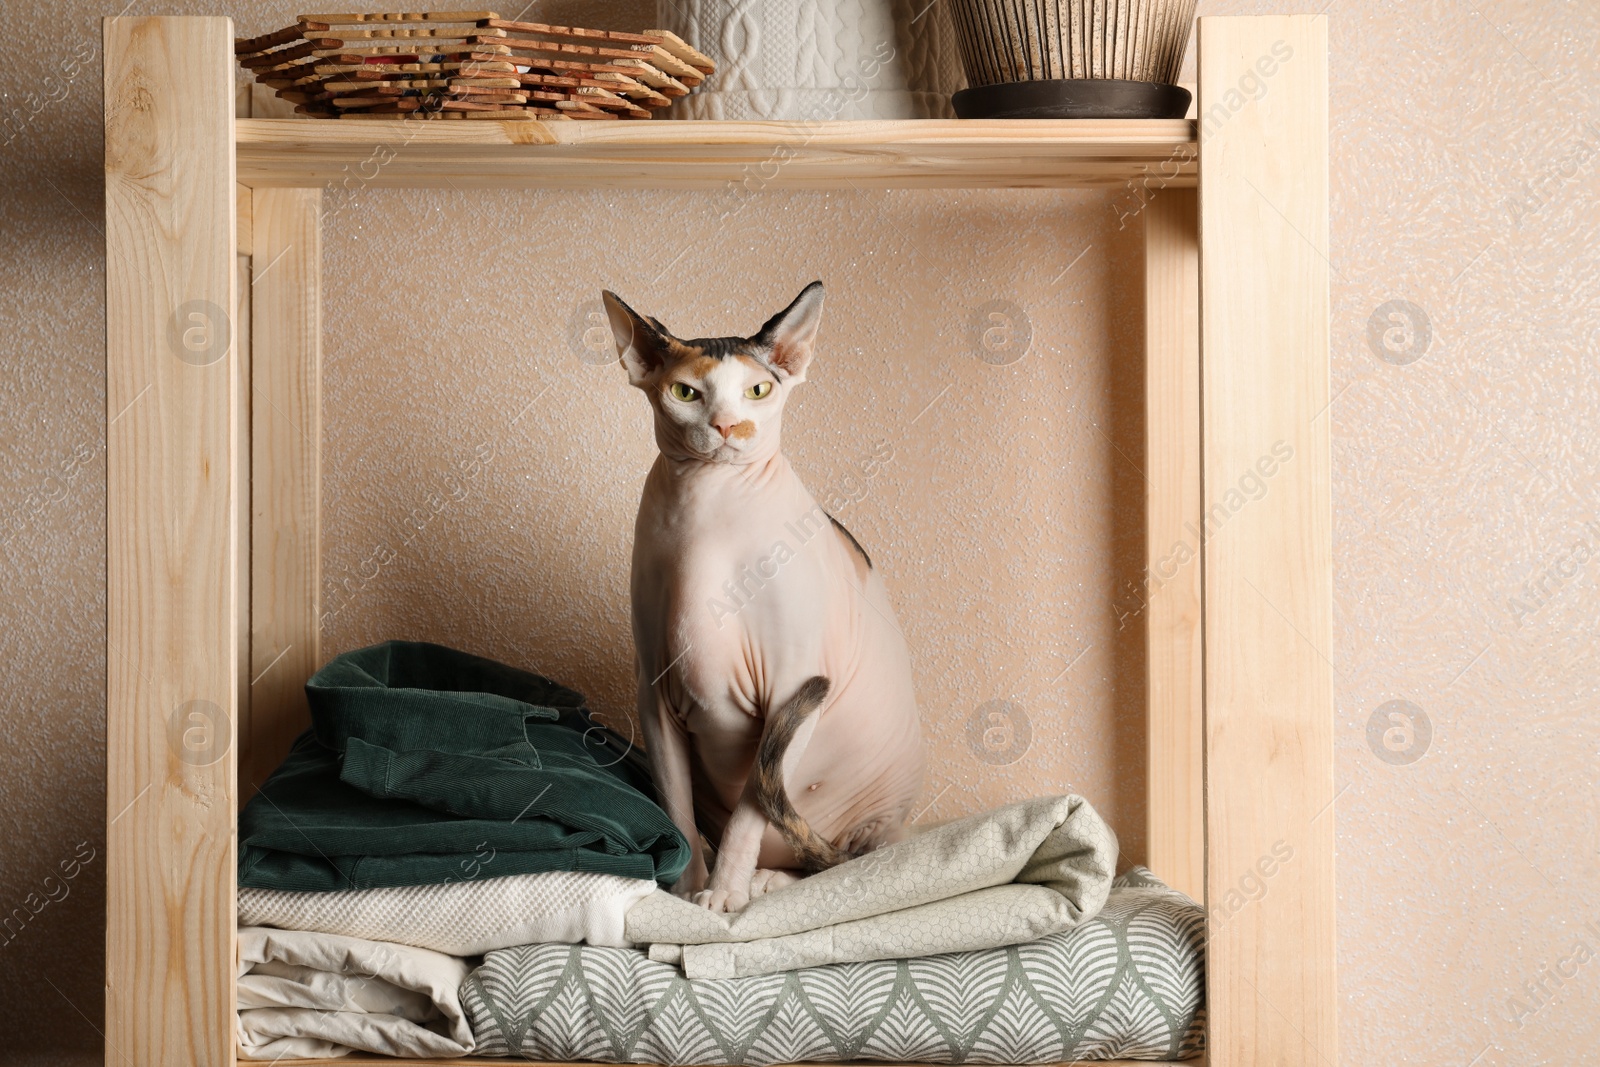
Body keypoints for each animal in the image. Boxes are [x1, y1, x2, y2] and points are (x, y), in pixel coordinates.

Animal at [601, 286, 928, 921]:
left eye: (759, 390)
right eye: (685, 393)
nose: (729, 426)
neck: (708, 508)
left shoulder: (791, 692)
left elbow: (752, 810)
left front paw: (724, 892)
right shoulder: (654, 697)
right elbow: (677, 813)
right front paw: (685, 895)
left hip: (877, 821)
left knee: (832, 861)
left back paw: (765, 882)